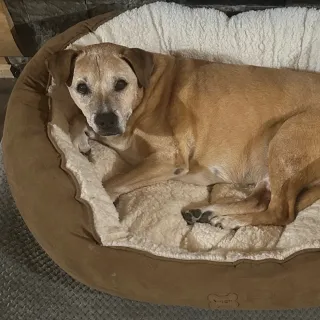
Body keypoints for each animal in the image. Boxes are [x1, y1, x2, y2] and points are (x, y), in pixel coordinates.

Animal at [47, 42, 320, 229]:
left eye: (120, 84)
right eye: (82, 87)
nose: (105, 121)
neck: (144, 92)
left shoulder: (167, 159)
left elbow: (112, 182)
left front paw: (105, 200)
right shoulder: (120, 137)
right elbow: (77, 118)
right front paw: (80, 137)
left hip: (287, 138)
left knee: (281, 212)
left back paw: (231, 221)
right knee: (261, 200)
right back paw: (208, 212)